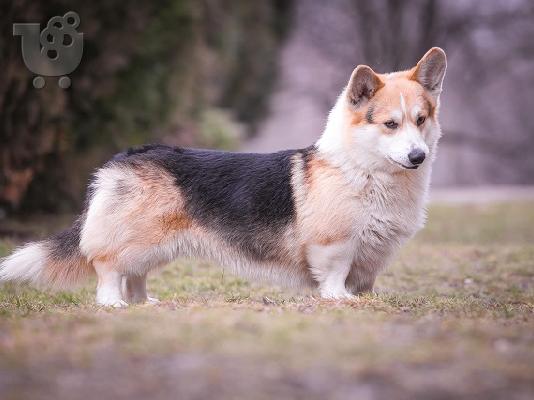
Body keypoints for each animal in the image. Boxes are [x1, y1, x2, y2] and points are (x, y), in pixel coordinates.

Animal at [0, 48, 448, 308]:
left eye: (421, 119)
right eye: (390, 124)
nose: (418, 156)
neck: (366, 171)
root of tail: (123, 157)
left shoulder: (374, 253)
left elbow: (364, 280)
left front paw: (364, 300)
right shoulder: (334, 245)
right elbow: (335, 274)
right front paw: (339, 300)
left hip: (155, 245)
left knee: (136, 274)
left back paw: (146, 303)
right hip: (131, 237)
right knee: (109, 268)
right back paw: (114, 305)